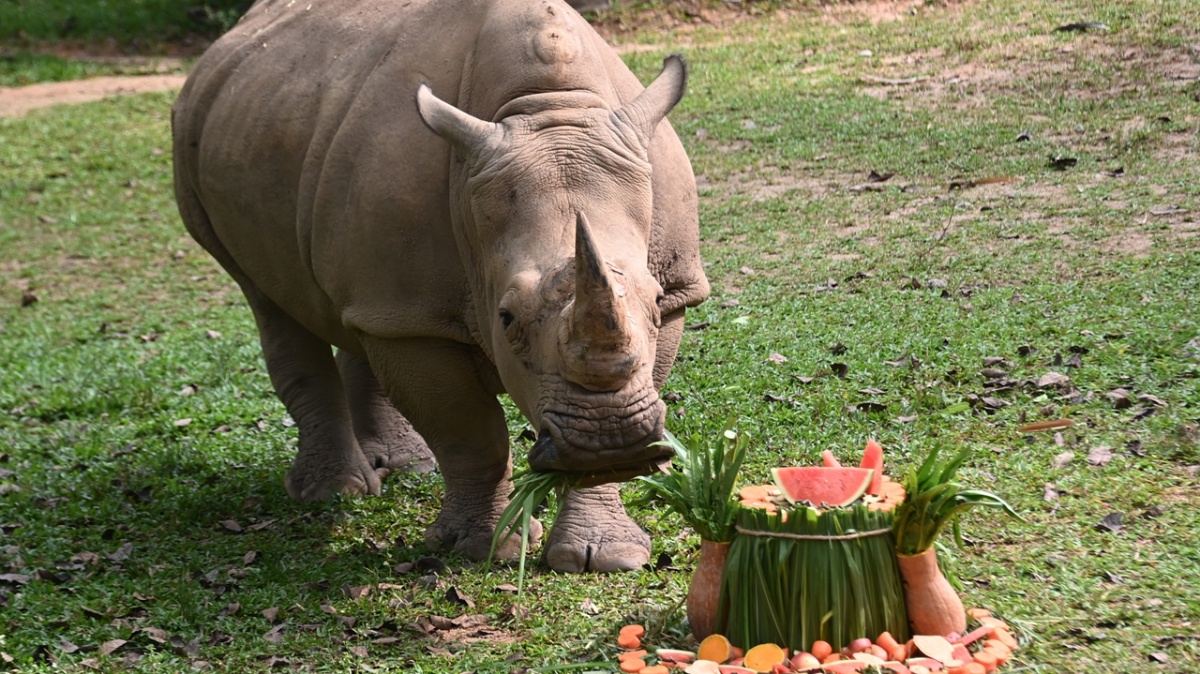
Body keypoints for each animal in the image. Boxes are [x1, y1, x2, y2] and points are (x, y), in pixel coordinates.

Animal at [171, 0, 709, 572]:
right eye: (506, 318)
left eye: (654, 300)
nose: (611, 441)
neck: (547, 111)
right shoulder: (419, 322)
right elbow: (470, 432)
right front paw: (482, 549)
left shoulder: (678, 290)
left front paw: (604, 555)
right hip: (201, 158)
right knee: (270, 301)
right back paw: (335, 493)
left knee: (355, 314)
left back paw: (406, 467)